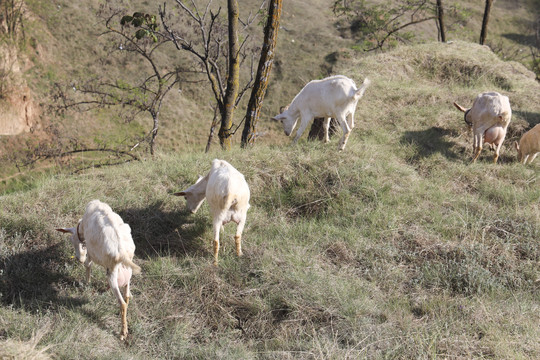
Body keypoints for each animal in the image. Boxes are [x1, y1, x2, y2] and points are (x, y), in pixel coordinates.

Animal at [56, 200, 141, 340]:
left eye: (72, 240)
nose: (78, 258)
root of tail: (123, 253)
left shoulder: (90, 251)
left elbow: (88, 264)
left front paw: (87, 283)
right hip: (126, 269)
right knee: (127, 295)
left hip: (112, 272)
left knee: (122, 303)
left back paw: (123, 333)